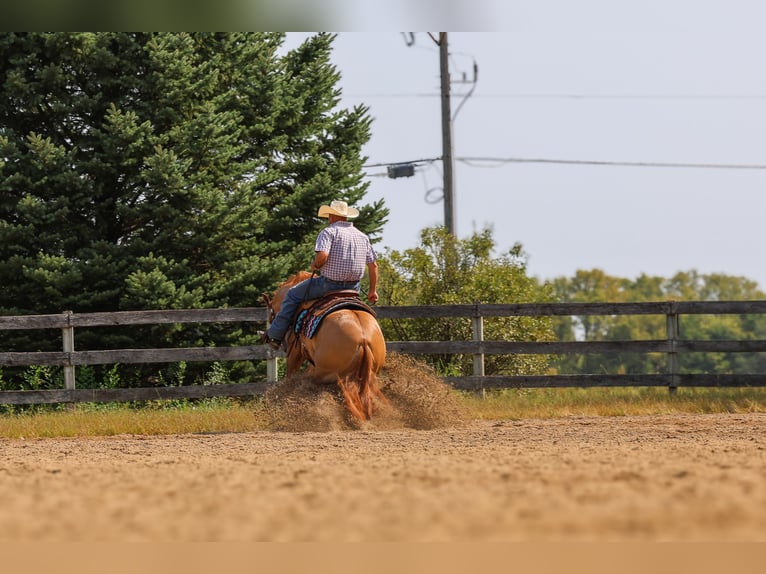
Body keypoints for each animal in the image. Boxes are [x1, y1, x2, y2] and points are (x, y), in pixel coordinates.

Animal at [262, 271, 387, 421]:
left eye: (271, 315)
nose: (269, 338)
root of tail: (363, 338)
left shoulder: (295, 352)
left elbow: (290, 373)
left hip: (329, 375)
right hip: (368, 376)